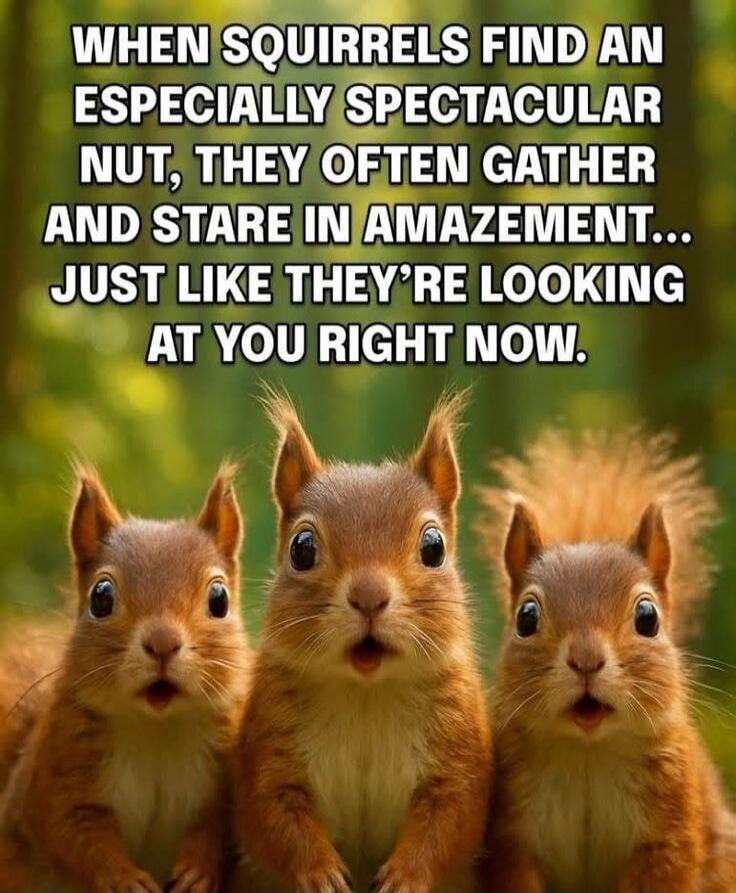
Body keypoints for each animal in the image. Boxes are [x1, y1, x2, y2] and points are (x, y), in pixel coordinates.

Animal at [0, 464, 251, 893]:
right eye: (100, 596)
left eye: (219, 599)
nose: (163, 643)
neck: (157, 729)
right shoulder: (56, 781)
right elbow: (75, 835)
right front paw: (123, 878)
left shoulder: (223, 781)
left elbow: (215, 827)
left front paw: (198, 869)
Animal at [232, 391, 492, 893]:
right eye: (302, 549)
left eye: (434, 547)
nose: (369, 597)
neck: (366, 692)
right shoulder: (269, 752)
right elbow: (276, 817)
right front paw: (321, 872)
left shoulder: (459, 754)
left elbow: (447, 820)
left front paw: (406, 876)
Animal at [477, 427, 736, 893]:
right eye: (526, 617)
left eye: (648, 617)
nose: (585, 660)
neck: (589, 753)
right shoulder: (511, 837)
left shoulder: (669, 835)